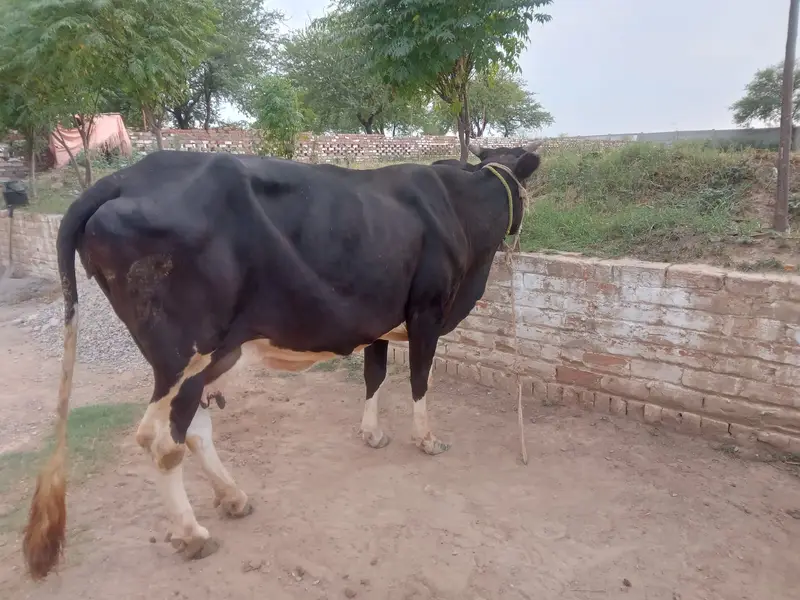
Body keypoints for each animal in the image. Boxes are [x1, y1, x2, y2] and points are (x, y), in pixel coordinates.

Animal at [22, 143, 541, 580]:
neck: (460, 207)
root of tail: (123, 177)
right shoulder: (427, 310)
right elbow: (418, 378)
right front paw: (427, 440)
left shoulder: (380, 316)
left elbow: (374, 375)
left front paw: (372, 433)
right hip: (184, 354)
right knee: (162, 439)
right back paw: (193, 535)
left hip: (214, 352)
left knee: (194, 428)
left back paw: (233, 498)